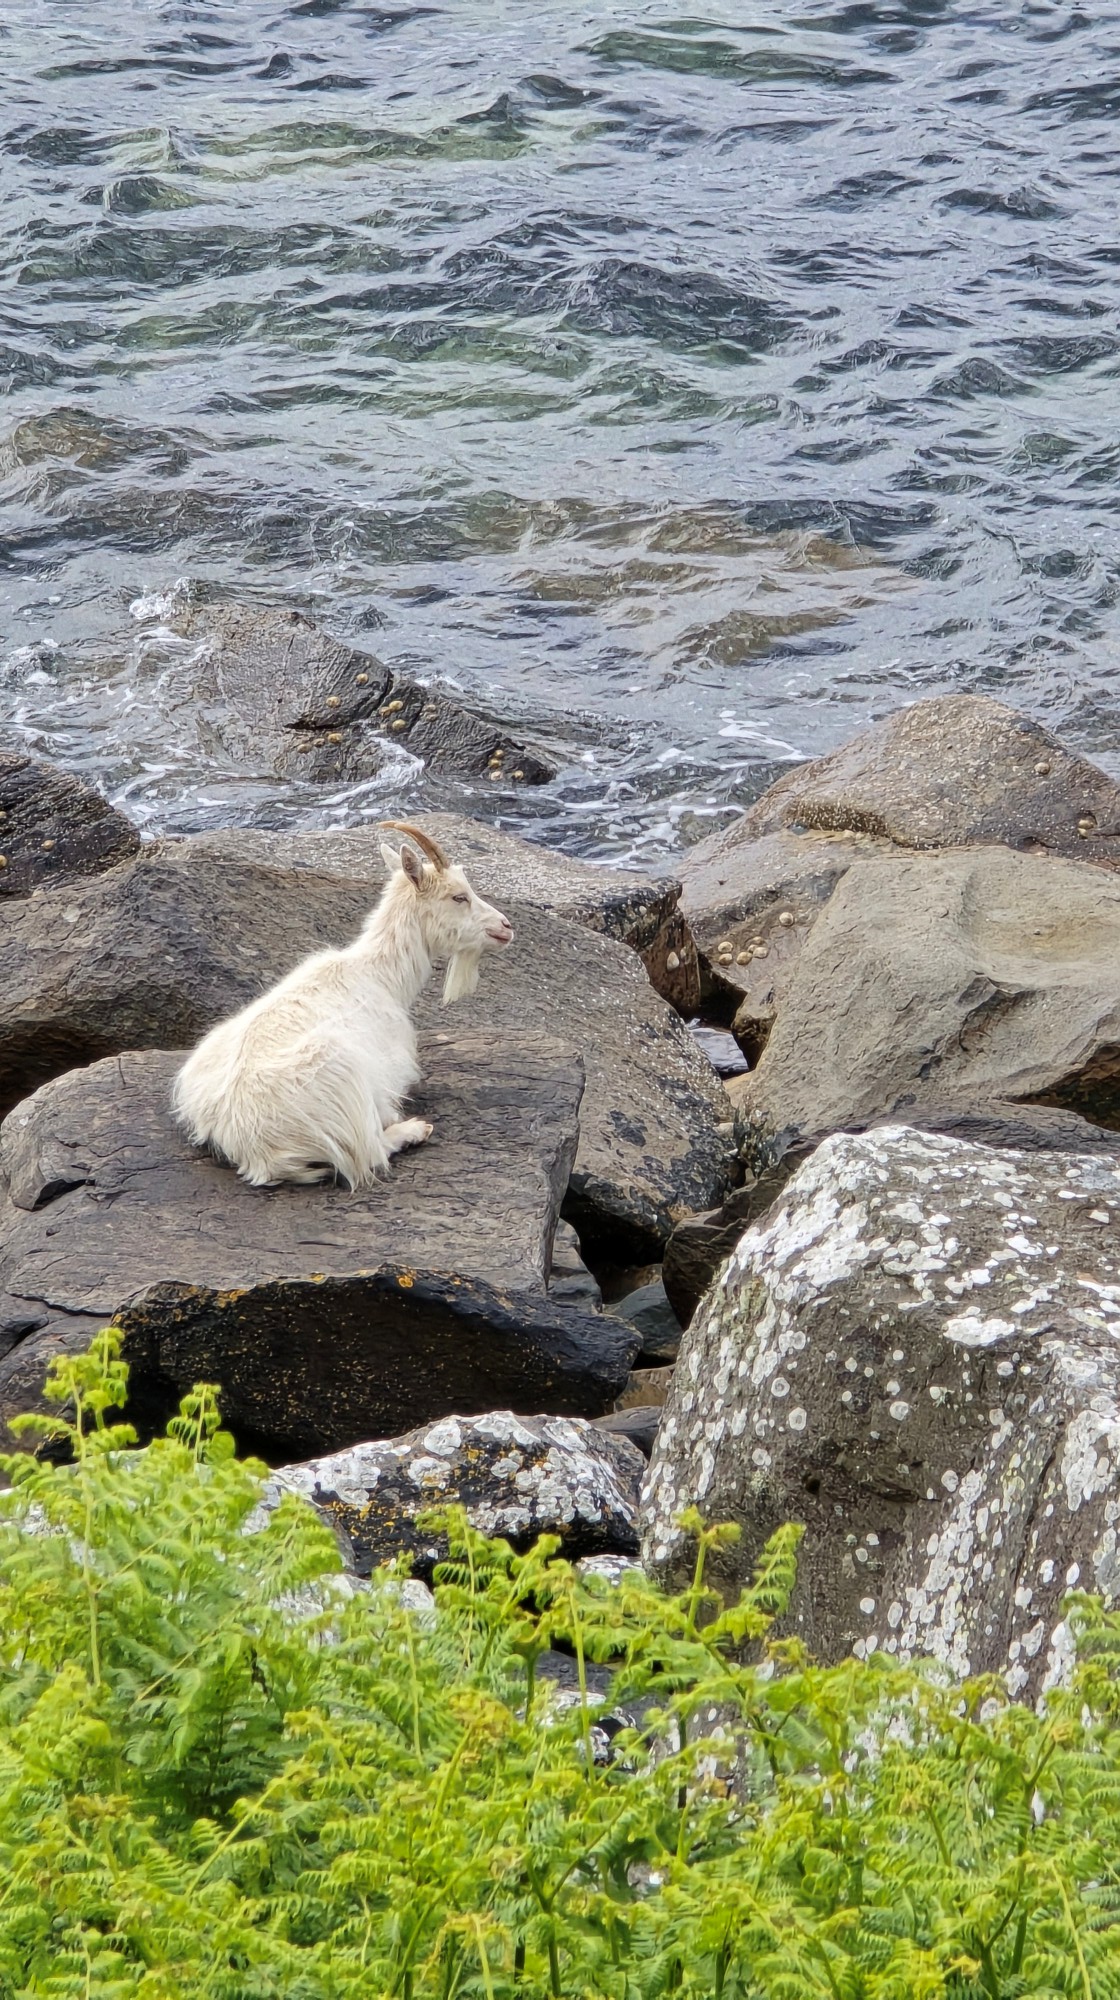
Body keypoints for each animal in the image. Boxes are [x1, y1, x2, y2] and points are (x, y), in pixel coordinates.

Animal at [172, 822, 513, 1188]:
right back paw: (414, 1130)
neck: (380, 975)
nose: (506, 927)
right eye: (458, 896)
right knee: (370, 1151)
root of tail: (253, 1149)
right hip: (343, 1078)